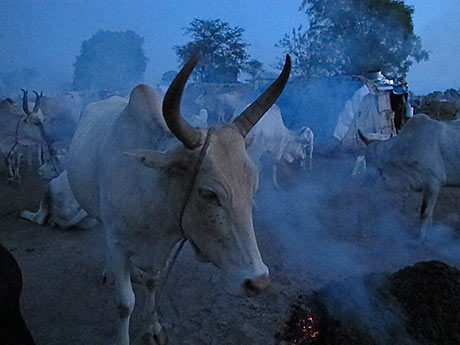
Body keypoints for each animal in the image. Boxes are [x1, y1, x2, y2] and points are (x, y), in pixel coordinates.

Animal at [67, 53, 292, 344]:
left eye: (253, 189)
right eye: (208, 193)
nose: (257, 282)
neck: (152, 194)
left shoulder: (164, 246)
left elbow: (153, 281)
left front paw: (153, 326)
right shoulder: (117, 243)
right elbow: (125, 303)